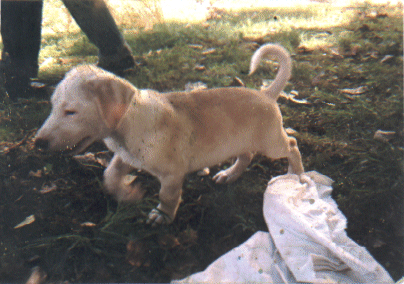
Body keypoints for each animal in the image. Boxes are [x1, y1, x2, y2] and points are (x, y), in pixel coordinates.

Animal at [34, 43, 304, 226]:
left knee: (292, 144)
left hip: (271, 143)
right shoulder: (126, 157)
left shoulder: (172, 174)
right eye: (52, 106)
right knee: (246, 156)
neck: (130, 123)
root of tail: (266, 94)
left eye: (70, 112)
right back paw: (229, 174)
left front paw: (162, 216)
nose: (37, 143)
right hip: (240, 140)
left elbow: (167, 195)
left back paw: (296, 174)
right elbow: (109, 174)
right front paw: (128, 193)